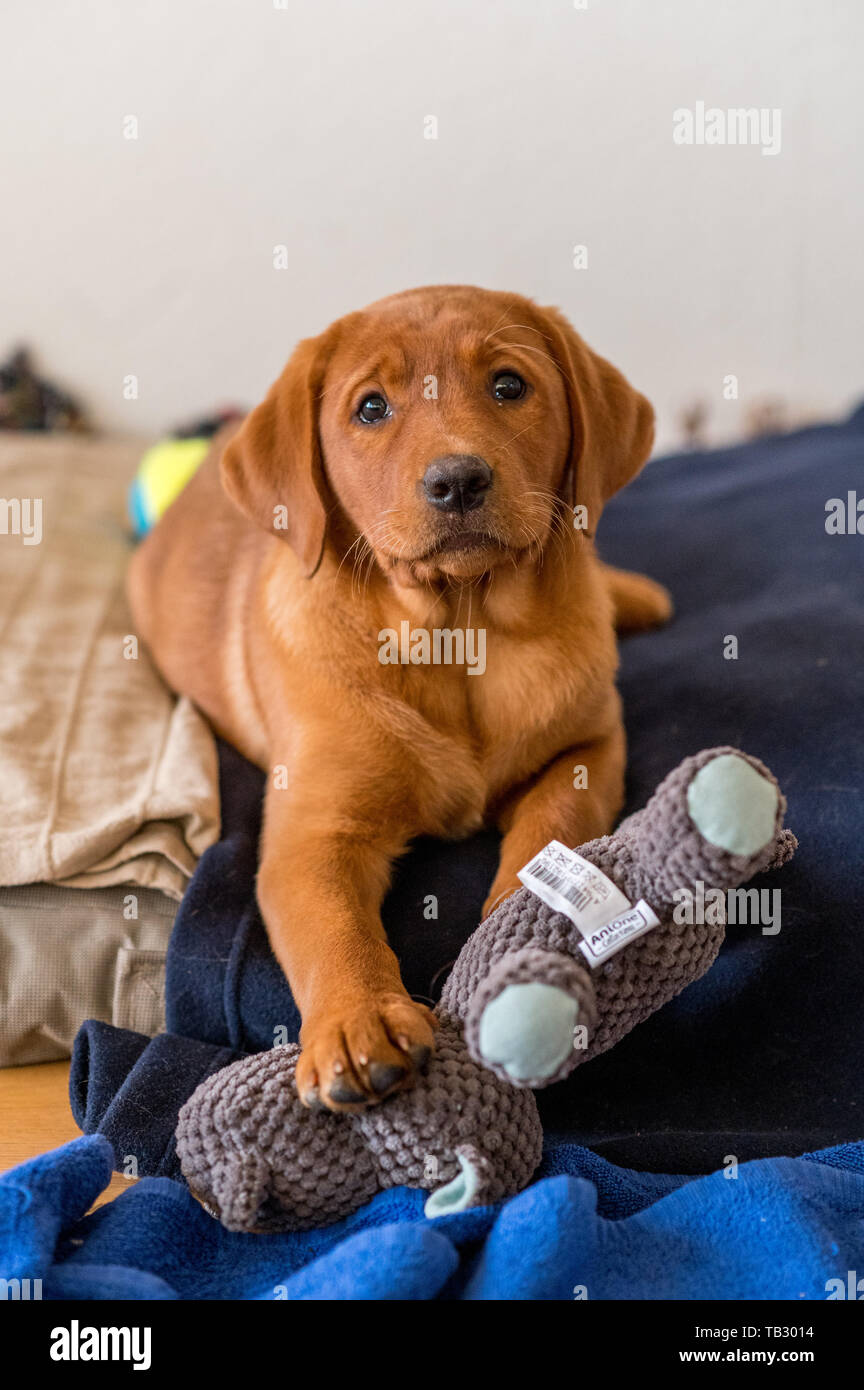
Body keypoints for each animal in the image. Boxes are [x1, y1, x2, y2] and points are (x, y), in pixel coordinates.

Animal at [128, 287, 675, 1112]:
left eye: (509, 385)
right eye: (372, 407)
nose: (458, 481)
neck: (461, 631)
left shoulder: (590, 746)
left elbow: (552, 828)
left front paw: (512, 938)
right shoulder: (312, 834)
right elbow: (334, 930)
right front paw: (359, 1024)